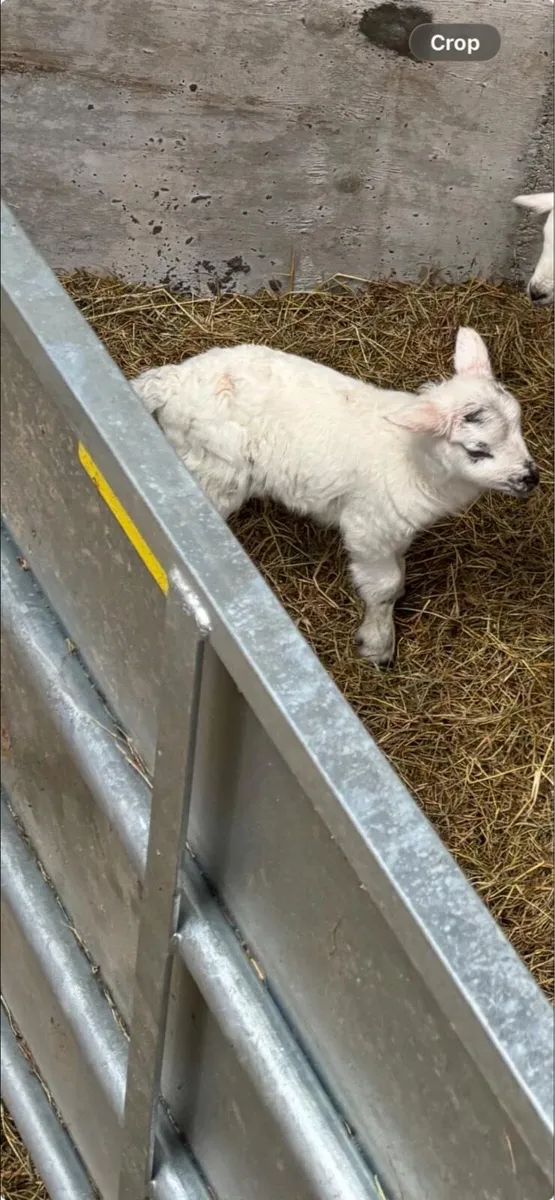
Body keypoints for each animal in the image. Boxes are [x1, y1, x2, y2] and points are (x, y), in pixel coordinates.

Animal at [132, 329, 539, 666]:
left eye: (519, 424)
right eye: (477, 450)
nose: (531, 478)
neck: (415, 460)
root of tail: (174, 380)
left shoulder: (396, 531)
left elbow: (399, 576)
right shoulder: (368, 527)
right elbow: (384, 586)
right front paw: (377, 645)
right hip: (216, 469)